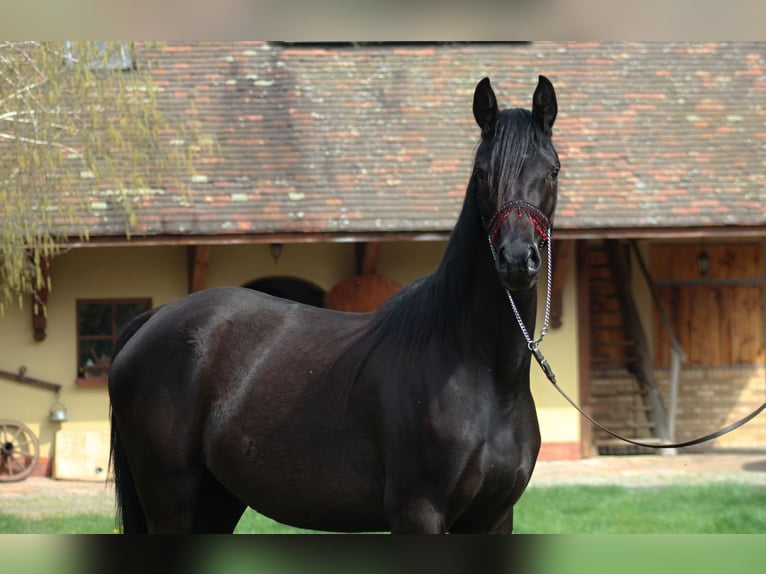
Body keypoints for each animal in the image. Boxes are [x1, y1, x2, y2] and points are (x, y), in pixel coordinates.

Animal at [108, 75, 560, 534]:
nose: (516, 259)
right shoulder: (418, 512)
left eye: (553, 171)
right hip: (171, 501)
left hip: (218, 500)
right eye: (481, 173)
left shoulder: (494, 518)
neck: (478, 368)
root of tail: (154, 318)